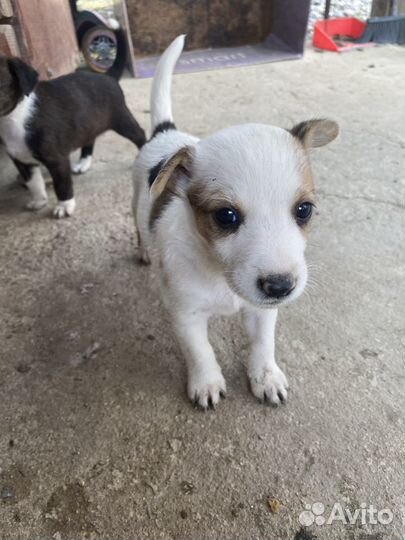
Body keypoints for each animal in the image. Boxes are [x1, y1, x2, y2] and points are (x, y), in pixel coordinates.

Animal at [0, 52, 145, 217]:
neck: (14, 116)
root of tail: (108, 76)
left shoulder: (57, 159)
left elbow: (62, 184)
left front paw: (64, 205)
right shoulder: (22, 160)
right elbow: (33, 182)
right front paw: (39, 200)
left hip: (121, 119)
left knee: (140, 135)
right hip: (89, 124)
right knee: (89, 140)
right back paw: (83, 163)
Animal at [133, 35, 338, 412]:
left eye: (304, 210)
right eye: (225, 216)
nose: (280, 286)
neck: (220, 275)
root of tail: (166, 133)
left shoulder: (262, 312)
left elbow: (263, 344)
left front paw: (266, 377)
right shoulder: (186, 314)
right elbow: (200, 351)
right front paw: (206, 382)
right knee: (138, 228)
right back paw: (142, 250)